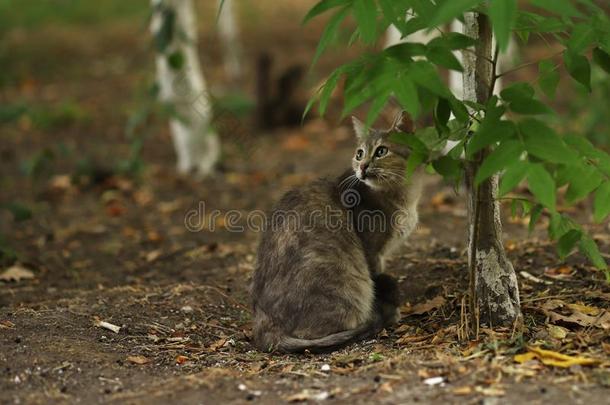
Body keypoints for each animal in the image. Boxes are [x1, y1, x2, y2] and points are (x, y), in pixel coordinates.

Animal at [249, 113, 420, 350]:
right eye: (359, 153)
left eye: (381, 151)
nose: (362, 166)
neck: (402, 196)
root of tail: (263, 324)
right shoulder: (373, 252)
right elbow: (378, 279)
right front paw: (390, 311)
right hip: (348, 285)